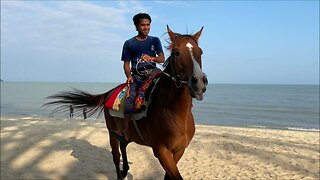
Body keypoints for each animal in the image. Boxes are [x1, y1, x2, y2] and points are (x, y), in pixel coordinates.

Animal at [46, 26, 209, 179]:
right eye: (176, 53)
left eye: (200, 52)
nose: (199, 82)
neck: (175, 112)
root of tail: (109, 93)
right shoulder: (161, 151)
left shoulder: (179, 150)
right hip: (112, 132)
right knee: (116, 156)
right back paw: (121, 172)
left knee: (123, 144)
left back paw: (125, 169)